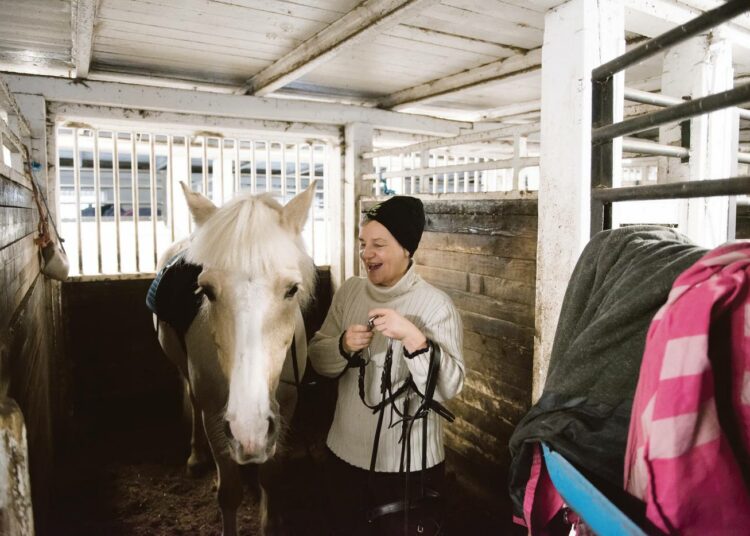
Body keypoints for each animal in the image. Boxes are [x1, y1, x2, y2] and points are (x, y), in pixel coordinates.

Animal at [153, 182, 318, 532]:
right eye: (207, 291)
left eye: (292, 289)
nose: (248, 429)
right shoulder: (216, 415)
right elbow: (229, 494)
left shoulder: (285, 409)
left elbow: (270, 478)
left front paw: (271, 518)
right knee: (191, 399)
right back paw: (197, 458)